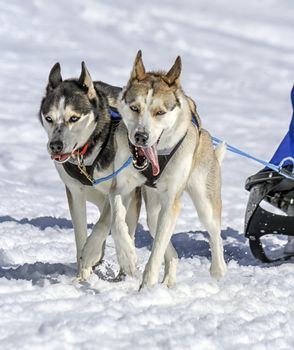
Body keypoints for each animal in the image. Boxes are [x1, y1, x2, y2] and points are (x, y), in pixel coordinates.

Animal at [39, 62, 140, 276]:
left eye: (74, 118)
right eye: (49, 118)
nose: (55, 145)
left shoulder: (121, 187)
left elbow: (109, 222)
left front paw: (119, 255)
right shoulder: (75, 192)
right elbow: (80, 235)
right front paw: (82, 276)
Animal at [80, 51, 227, 288]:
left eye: (160, 112)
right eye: (134, 108)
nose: (141, 136)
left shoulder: (172, 201)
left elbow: (157, 249)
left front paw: (146, 287)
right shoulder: (120, 188)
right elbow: (118, 222)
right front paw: (127, 258)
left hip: (204, 201)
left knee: (214, 234)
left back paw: (218, 269)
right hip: (153, 211)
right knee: (168, 245)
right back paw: (168, 280)